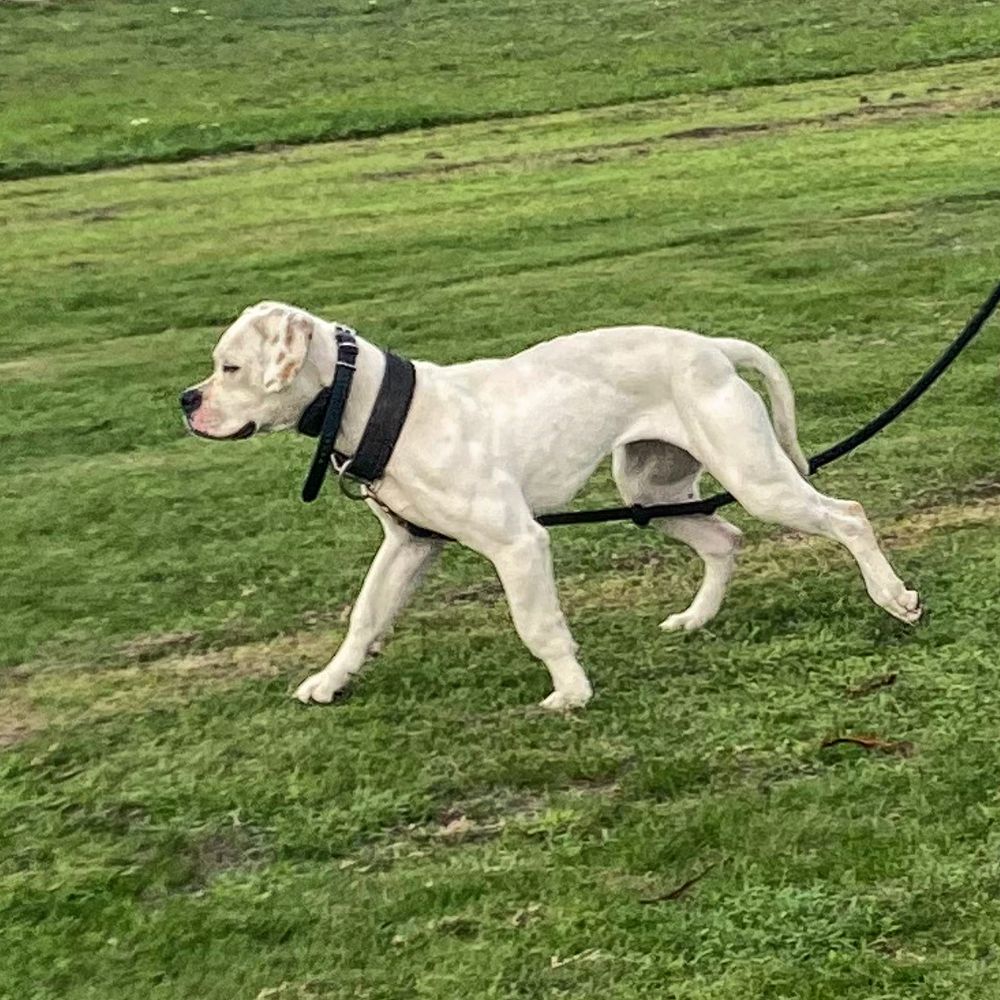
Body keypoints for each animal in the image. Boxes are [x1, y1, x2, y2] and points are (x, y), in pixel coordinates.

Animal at [182, 300, 920, 708]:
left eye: (230, 368)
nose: (186, 401)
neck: (378, 405)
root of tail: (711, 347)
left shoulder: (517, 544)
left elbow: (536, 625)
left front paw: (571, 691)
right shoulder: (407, 548)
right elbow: (364, 621)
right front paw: (332, 682)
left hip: (757, 480)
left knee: (847, 515)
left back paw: (894, 597)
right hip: (651, 491)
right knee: (724, 542)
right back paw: (695, 618)